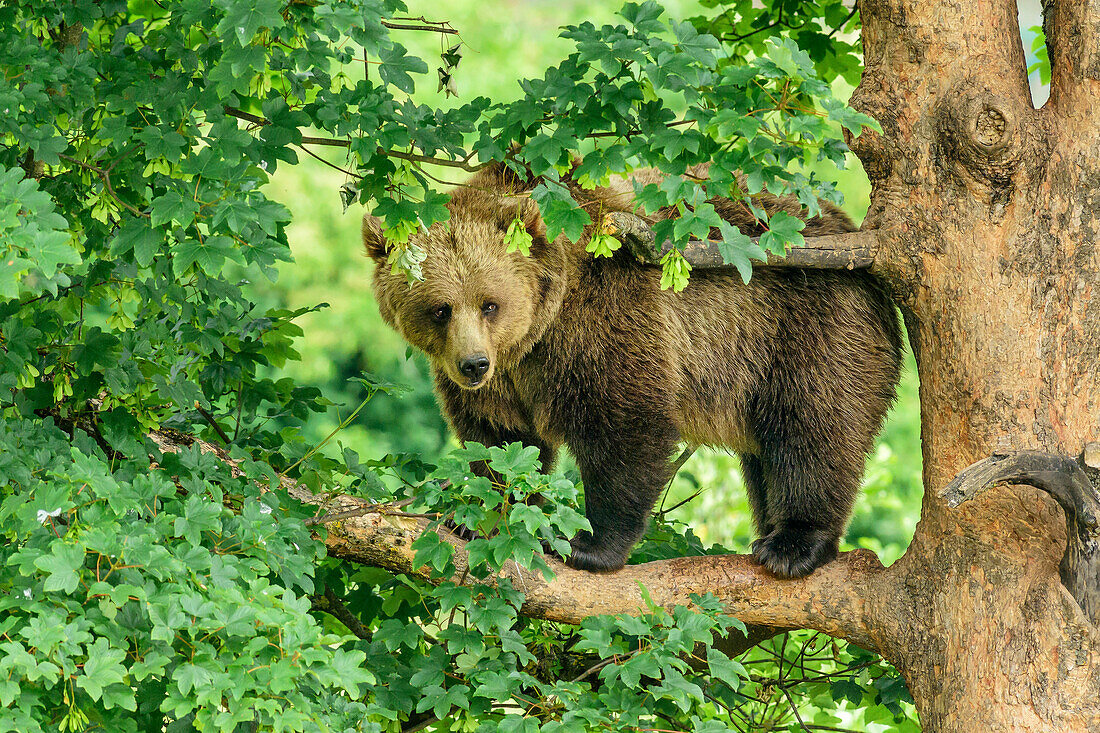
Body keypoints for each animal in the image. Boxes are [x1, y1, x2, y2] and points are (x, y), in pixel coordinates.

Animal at [363, 161, 902, 576]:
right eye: (440, 309)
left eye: (489, 303)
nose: (473, 364)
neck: (536, 333)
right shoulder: (504, 380)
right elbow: (501, 442)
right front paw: (476, 516)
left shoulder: (606, 317)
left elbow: (623, 427)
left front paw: (589, 545)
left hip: (806, 323)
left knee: (814, 427)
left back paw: (791, 544)